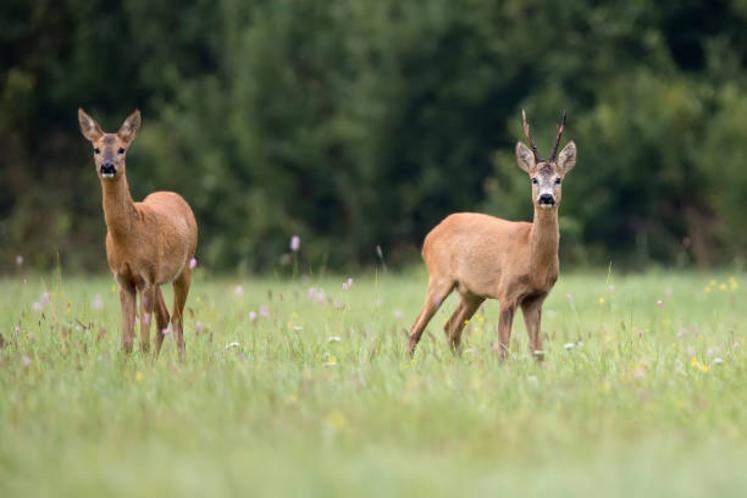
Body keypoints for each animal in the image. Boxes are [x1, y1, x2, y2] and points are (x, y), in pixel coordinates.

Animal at [78, 108, 199, 358]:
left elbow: (142, 340)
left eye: (121, 149)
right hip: (159, 279)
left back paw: (180, 361)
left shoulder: (146, 278)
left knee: (177, 319)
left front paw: (143, 362)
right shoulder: (123, 279)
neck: (128, 237)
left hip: (184, 268)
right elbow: (126, 341)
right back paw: (157, 360)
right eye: (96, 149)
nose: (107, 166)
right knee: (164, 318)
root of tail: (174, 195)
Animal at [410, 111, 580, 360]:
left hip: (471, 292)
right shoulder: (506, 292)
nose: (546, 197)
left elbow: (537, 349)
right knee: (416, 327)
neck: (532, 256)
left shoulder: (536, 298)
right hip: (439, 278)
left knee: (451, 327)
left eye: (558, 179)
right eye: (534, 179)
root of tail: (429, 236)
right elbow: (503, 347)